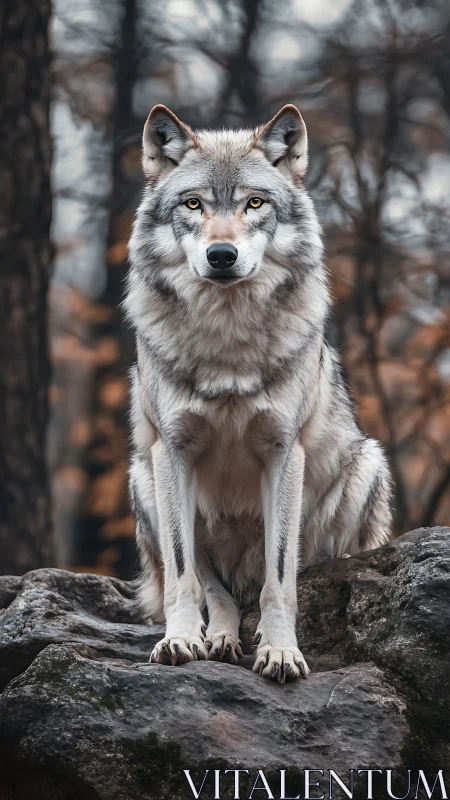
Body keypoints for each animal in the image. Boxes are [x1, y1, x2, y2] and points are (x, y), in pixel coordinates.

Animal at [125, 103, 392, 683]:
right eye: (194, 203)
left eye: (254, 202)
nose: (221, 255)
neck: (228, 343)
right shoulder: (172, 450)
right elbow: (184, 573)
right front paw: (180, 640)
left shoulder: (283, 452)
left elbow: (280, 575)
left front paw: (281, 651)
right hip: (144, 476)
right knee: (217, 591)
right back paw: (219, 638)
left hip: (367, 463)